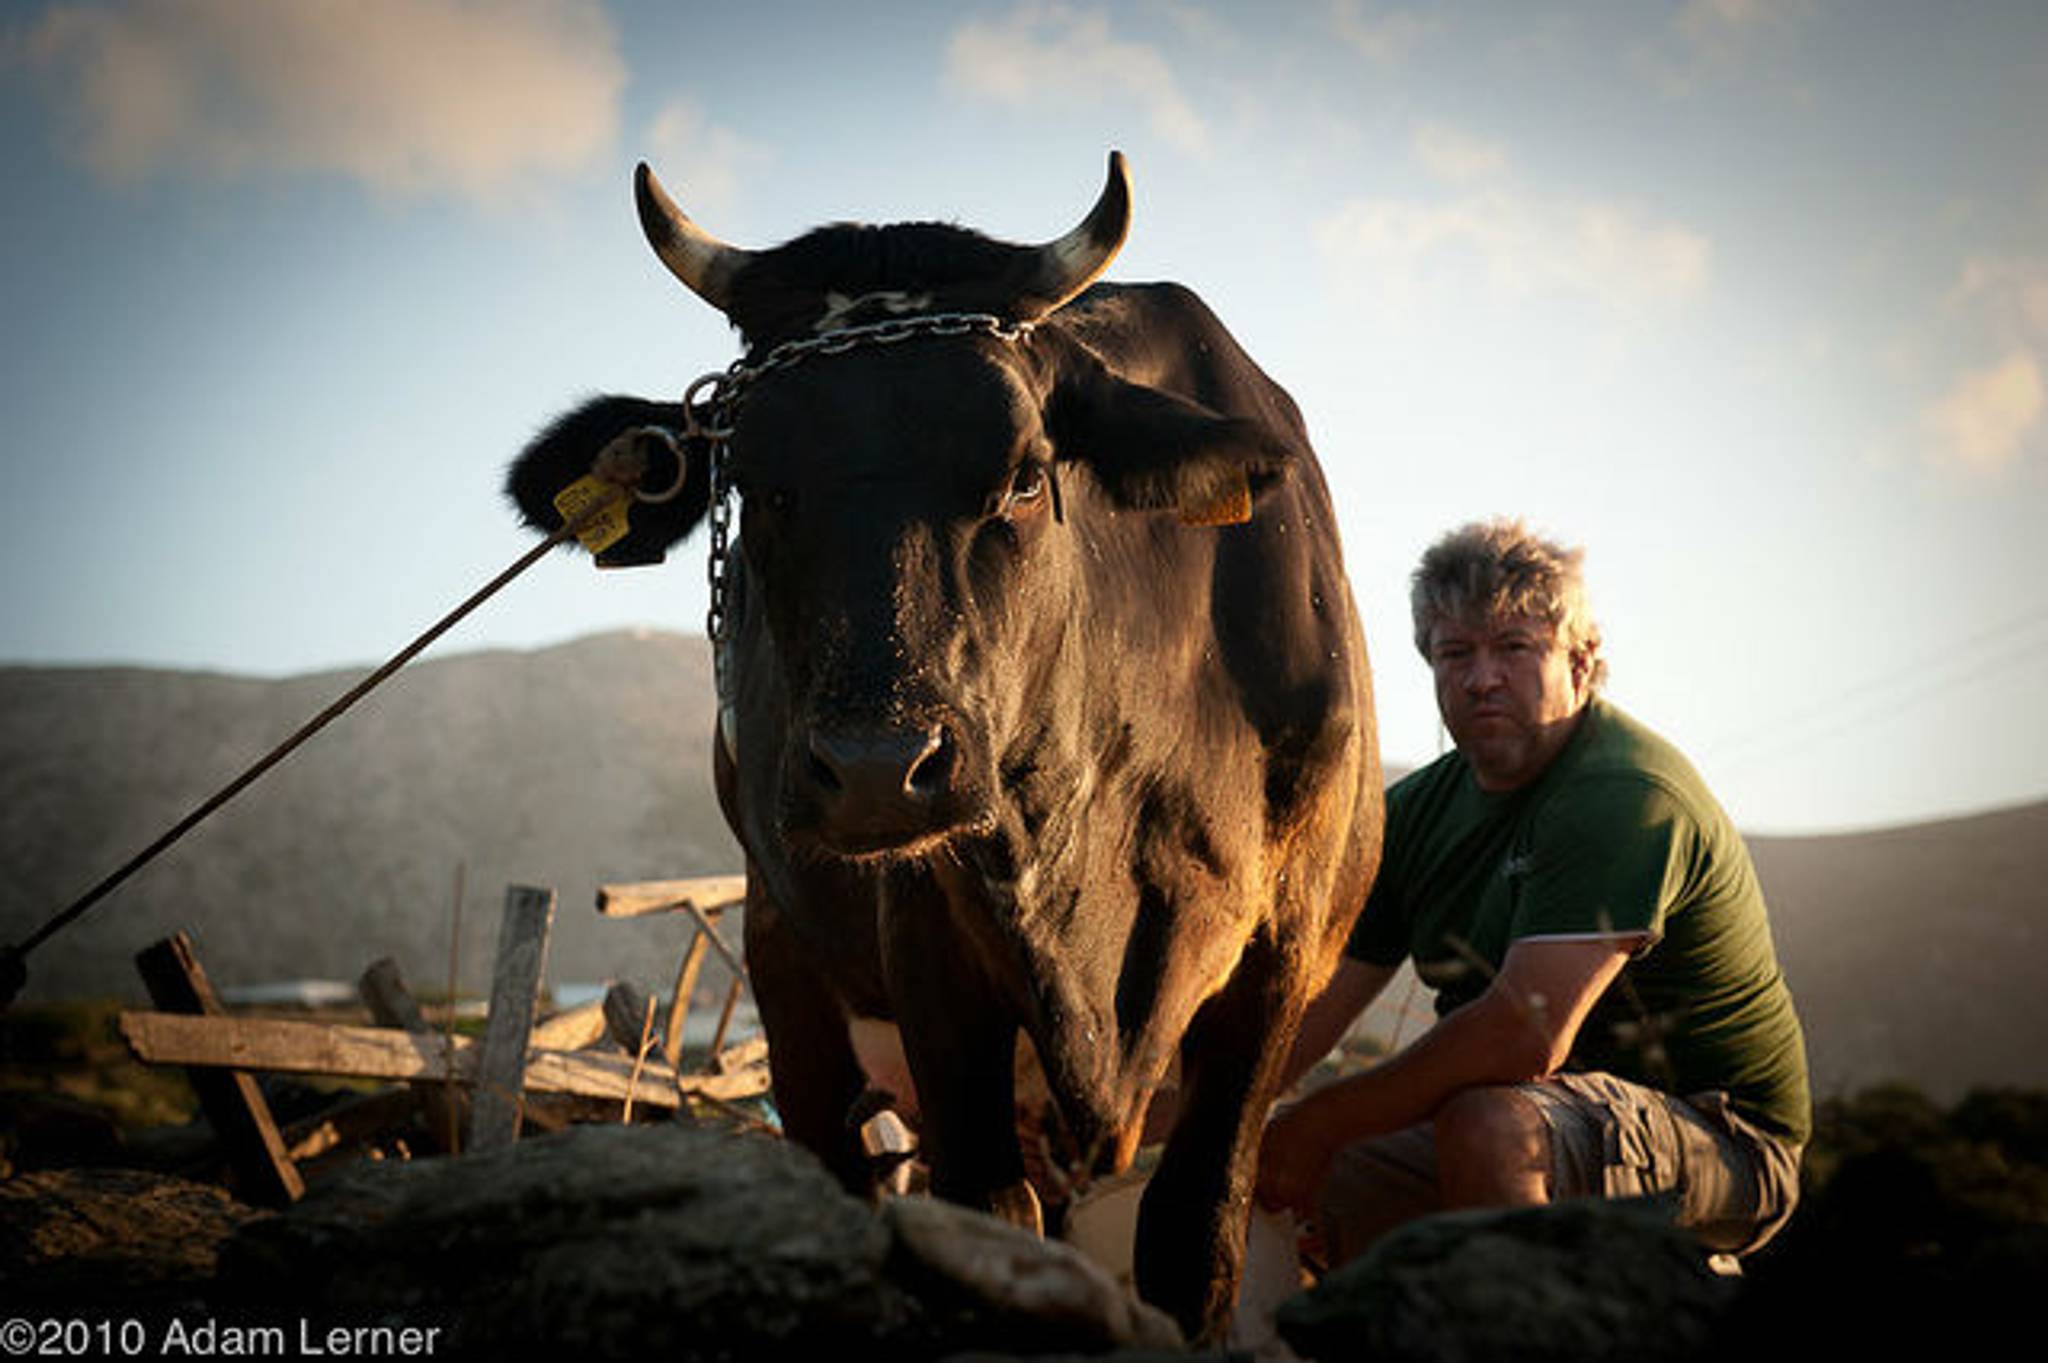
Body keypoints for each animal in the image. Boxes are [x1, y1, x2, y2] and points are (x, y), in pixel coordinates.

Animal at [503, 153, 1384, 1334]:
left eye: (1024, 473)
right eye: (756, 483)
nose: (879, 770)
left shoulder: (1281, 958)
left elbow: (1193, 1233)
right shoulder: (928, 946)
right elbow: (989, 1218)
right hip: (785, 945)